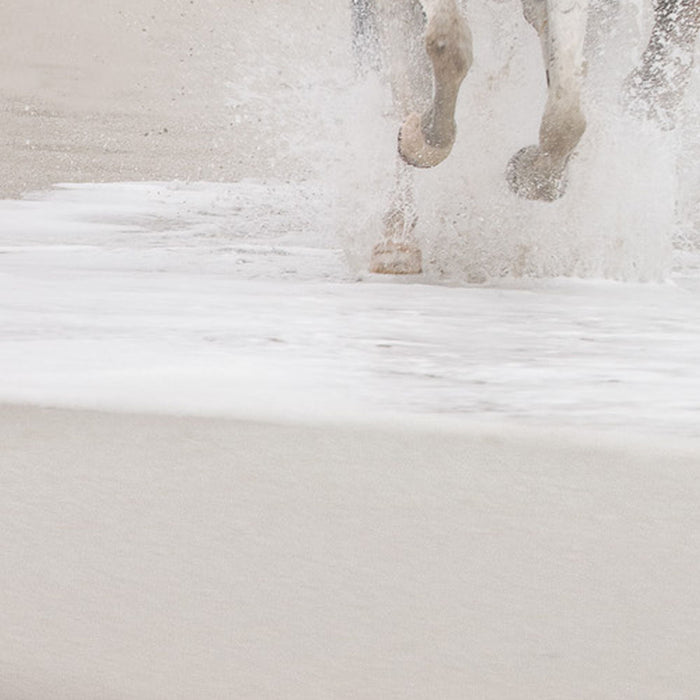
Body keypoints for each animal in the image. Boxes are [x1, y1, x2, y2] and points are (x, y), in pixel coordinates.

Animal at [353, 0, 699, 274]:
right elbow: (447, 44)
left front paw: (531, 172)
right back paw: (397, 242)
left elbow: (566, 112)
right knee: (406, 78)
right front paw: (420, 140)